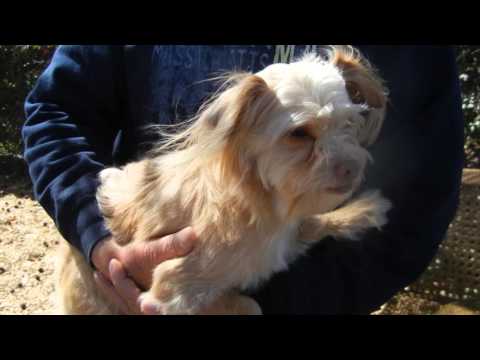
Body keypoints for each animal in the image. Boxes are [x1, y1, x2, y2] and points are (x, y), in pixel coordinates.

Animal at [54, 45, 392, 316]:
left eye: (349, 122)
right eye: (299, 134)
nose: (350, 168)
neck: (261, 206)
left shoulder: (285, 239)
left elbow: (313, 222)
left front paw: (365, 210)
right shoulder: (168, 291)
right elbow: (248, 305)